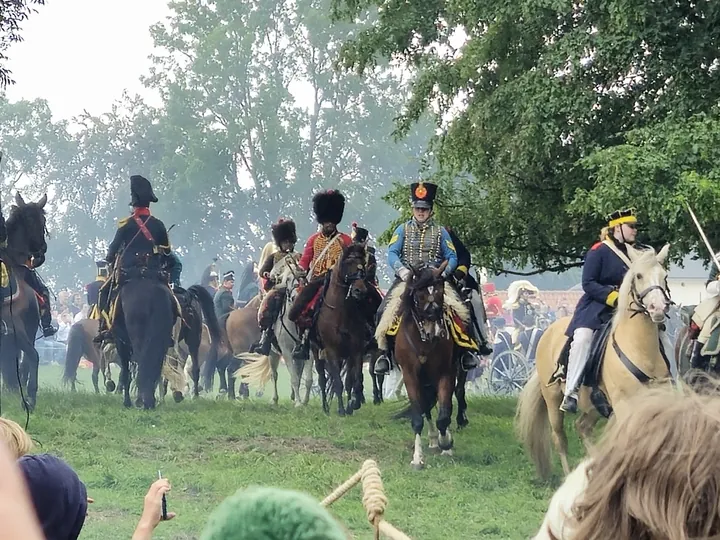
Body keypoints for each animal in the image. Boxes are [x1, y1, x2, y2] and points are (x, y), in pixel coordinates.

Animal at [238, 253, 314, 404]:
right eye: (288, 279)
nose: (296, 297)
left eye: (303, 278)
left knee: (298, 372)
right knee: (274, 375)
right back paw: (275, 399)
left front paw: (304, 401)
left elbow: (307, 379)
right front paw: (298, 403)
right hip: (273, 353)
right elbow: (294, 378)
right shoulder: (286, 351)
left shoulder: (308, 352)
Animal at [314, 243, 368, 416]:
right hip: (315, 350)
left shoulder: (356, 350)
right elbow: (337, 382)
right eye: (348, 263)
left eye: (362, 264)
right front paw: (341, 410)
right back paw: (325, 407)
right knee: (322, 379)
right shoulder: (331, 350)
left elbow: (357, 380)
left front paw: (353, 404)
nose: (359, 291)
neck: (340, 312)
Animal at [516, 243, 676, 478]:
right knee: (560, 438)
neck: (640, 349)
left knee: (582, 427)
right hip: (553, 400)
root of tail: (548, 332)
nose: (658, 308)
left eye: (664, 276)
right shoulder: (624, 405)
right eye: (638, 275)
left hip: (592, 405)